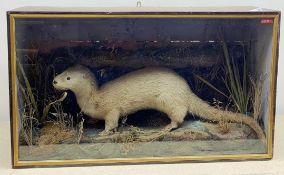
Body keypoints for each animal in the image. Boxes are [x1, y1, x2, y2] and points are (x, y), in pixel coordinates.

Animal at [52, 64, 266, 139]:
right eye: (62, 71)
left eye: (68, 78)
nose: (54, 80)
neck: (92, 98)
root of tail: (185, 90)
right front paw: (92, 121)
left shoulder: (112, 109)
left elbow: (112, 121)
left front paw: (103, 132)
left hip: (169, 100)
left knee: (179, 117)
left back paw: (163, 129)